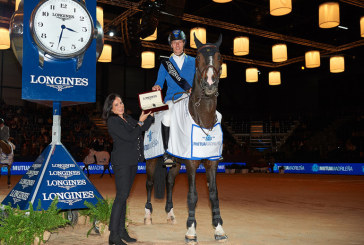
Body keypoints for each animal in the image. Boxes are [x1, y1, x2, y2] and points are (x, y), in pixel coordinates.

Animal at [144, 34, 226, 243]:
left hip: (176, 162)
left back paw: (170, 214)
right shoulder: (191, 163)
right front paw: (191, 230)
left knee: (170, 182)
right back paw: (148, 215)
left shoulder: (211, 162)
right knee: (149, 183)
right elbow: (193, 196)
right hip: (152, 160)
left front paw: (218, 228)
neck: (202, 117)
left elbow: (213, 194)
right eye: (197, 59)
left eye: (219, 57)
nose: (210, 84)